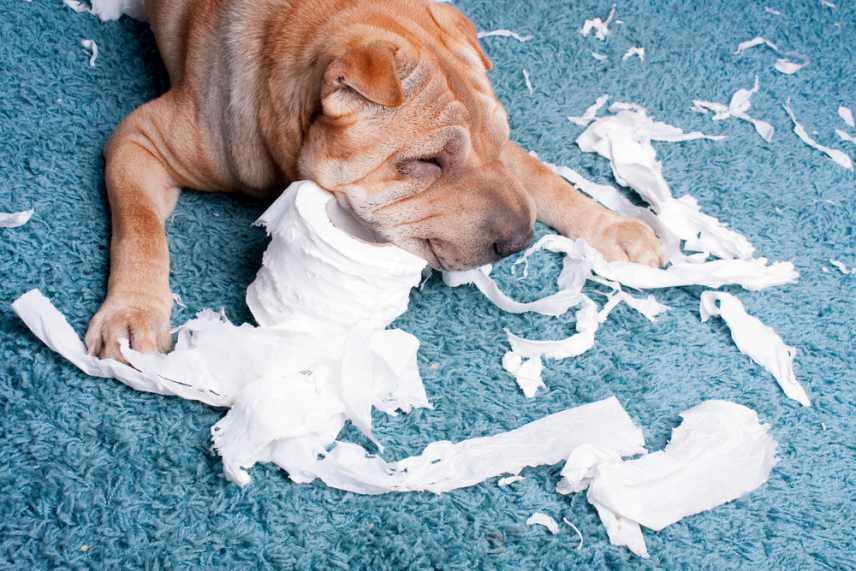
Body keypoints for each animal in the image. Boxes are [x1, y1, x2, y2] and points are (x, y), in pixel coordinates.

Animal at [85, 0, 664, 362]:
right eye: (428, 163)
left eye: (501, 137)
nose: (521, 240)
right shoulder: (137, 140)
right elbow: (139, 225)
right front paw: (133, 312)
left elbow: (541, 177)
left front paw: (616, 230)